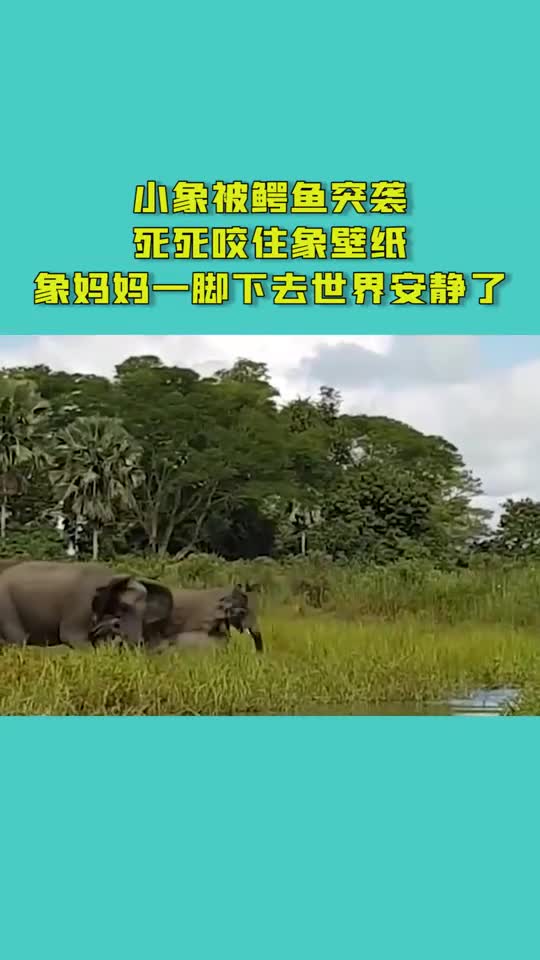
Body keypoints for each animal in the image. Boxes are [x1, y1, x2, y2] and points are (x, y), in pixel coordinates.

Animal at [0, 560, 173, 650]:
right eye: (123, 608)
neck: (112, 576)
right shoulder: (80, 606)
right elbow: (72, 637)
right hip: (6, 605)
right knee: (17, 641)